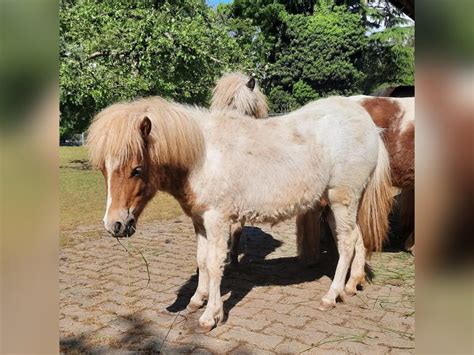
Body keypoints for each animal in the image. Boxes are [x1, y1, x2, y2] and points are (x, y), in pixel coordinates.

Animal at [87, 96, 390, 332]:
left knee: (346, 243)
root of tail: (366, 122)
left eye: (136, 169)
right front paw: (196, 300)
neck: (203, 157)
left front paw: (210, 316)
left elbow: (214, 264)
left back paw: (331, 295)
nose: (114, 224)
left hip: (342, 199)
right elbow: (201, 260)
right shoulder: (200, 220)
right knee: (357, 239)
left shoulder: (217, 219)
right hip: (338, 204)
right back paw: (351, 285)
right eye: (103, 169)